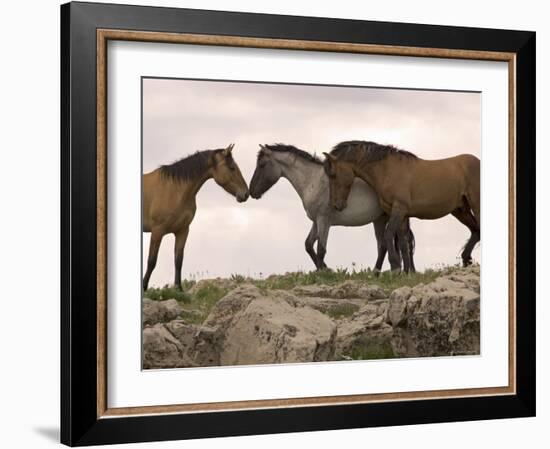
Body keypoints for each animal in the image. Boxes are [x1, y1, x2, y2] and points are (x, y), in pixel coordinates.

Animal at [144, 144, 252, 290]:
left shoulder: (183, 230)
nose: (246, 194)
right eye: (232, 168)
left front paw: (179, 289)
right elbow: (151, 261)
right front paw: (144, 287)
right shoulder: (157, 231)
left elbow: (178, 260)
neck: (174, 190)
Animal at [249, 142, 414, 272]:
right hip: (379, 219)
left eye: (262, 164)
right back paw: (381, 272)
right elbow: (309, 245)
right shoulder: (316, 221)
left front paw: (323, 272)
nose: (251, 191)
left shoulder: (324, 220)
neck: (313, 181)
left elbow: (321, 249)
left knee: (400, 242)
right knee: (387, 245)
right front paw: (325, 269)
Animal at [326, 140, 480, 272]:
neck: (388, 170)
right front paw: (407, 272)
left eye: (333, 175)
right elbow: (403, 242)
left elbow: (389, 234)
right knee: (475, 230)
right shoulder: (402, 214)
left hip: (475, 205)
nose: (337, 205)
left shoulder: (399, 209)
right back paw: (466, 259)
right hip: (460, 210)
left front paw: (395, 267)